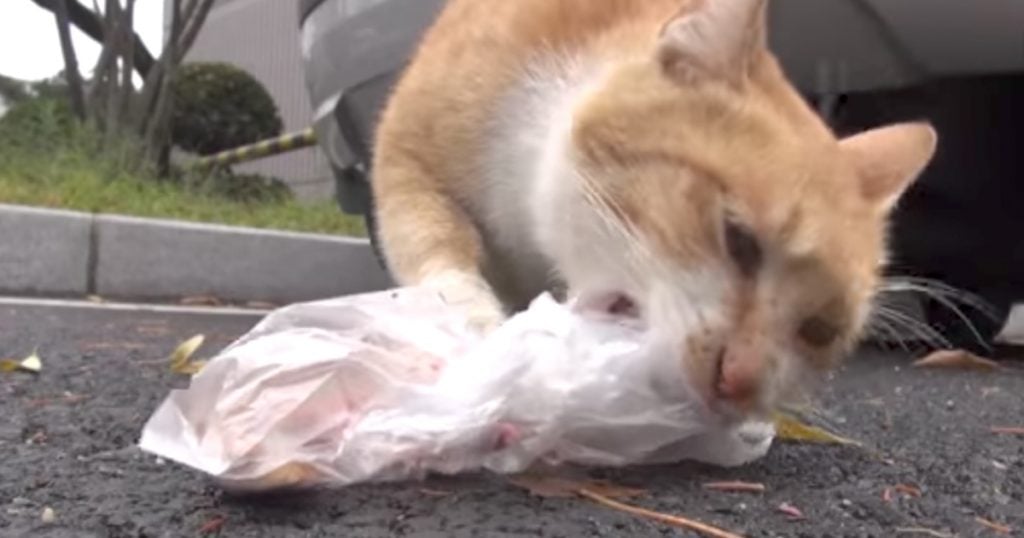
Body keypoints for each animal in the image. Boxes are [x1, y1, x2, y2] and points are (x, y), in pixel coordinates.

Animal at [368, 0, 937, 422]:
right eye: (738, 239)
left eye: (818, 330)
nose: (741, 380)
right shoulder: (403, 156)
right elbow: (431, 237)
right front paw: (470, 317)